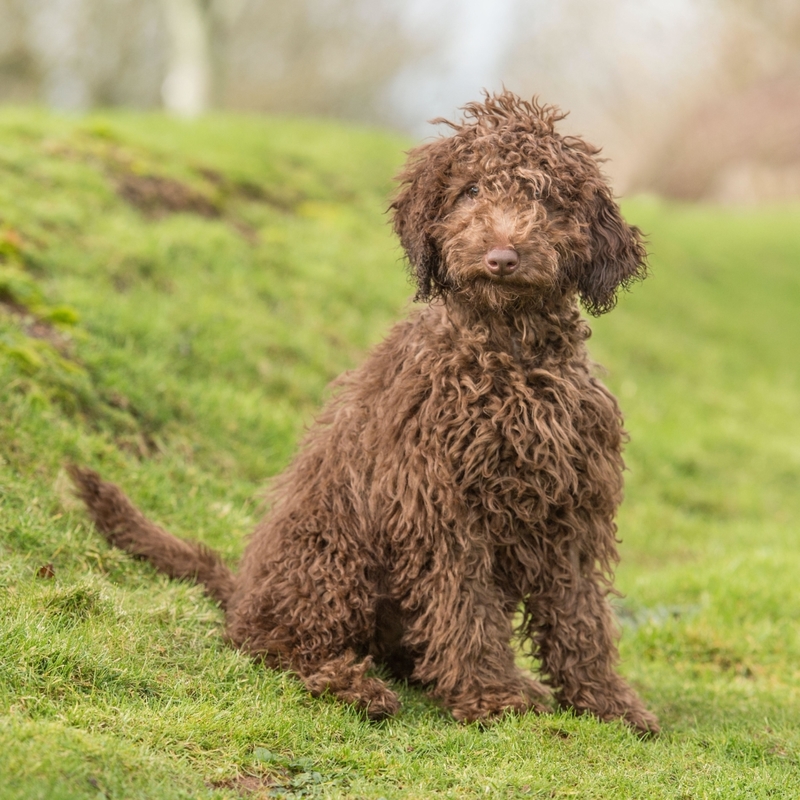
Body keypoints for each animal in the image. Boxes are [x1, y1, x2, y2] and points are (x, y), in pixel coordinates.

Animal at [67, 90, 656, 736]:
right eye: (471, 190)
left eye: (546, 197)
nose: (502, 256)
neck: (509, 359)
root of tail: (245, 592)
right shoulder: (439, 508)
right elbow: (466, 610)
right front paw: (491, 697)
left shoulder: (570, 509)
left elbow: (580, 618)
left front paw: (606, 702)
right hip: (335, 553)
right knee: (281, 646)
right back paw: (356, 686)